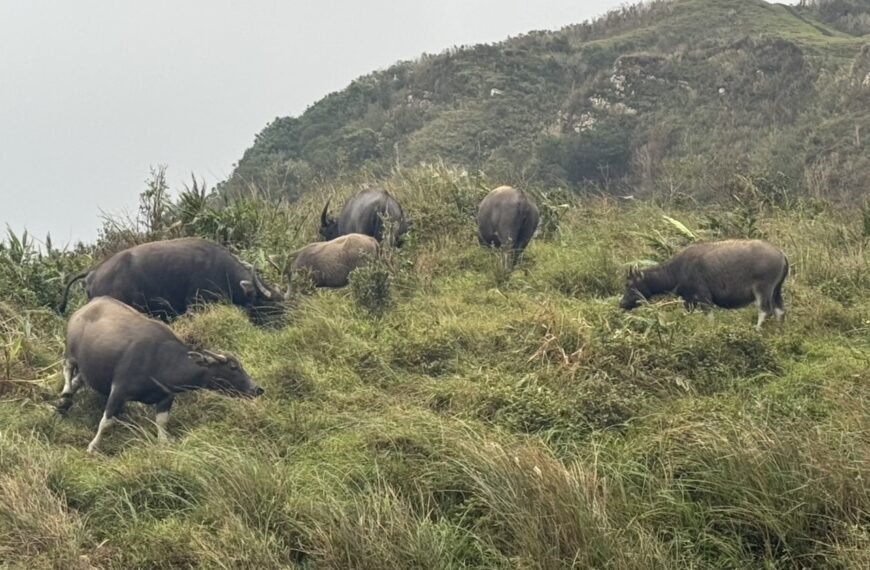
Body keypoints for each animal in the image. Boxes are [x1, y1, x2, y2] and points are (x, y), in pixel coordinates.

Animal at [58, 296, 262, 450]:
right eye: (233, 367)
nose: (257, 389)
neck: (160, 361)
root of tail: (88, 305)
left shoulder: (166, 397)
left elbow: (162, 423)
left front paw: (164, 443)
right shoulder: (119, 390)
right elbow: (106, 422)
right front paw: (93, 447)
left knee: (78, 380)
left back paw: (63, 403)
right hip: (70, 353)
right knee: (67, 370)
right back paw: (65, 395)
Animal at [620, 237, 792, 328]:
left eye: (629, 285)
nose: (622, 304)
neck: (678, 270)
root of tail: (781, 254)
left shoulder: (704, 299)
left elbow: (709, 319)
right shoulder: (688, 301)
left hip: (763, 289)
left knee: (765, 311)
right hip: (776, 290)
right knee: (779, 311)